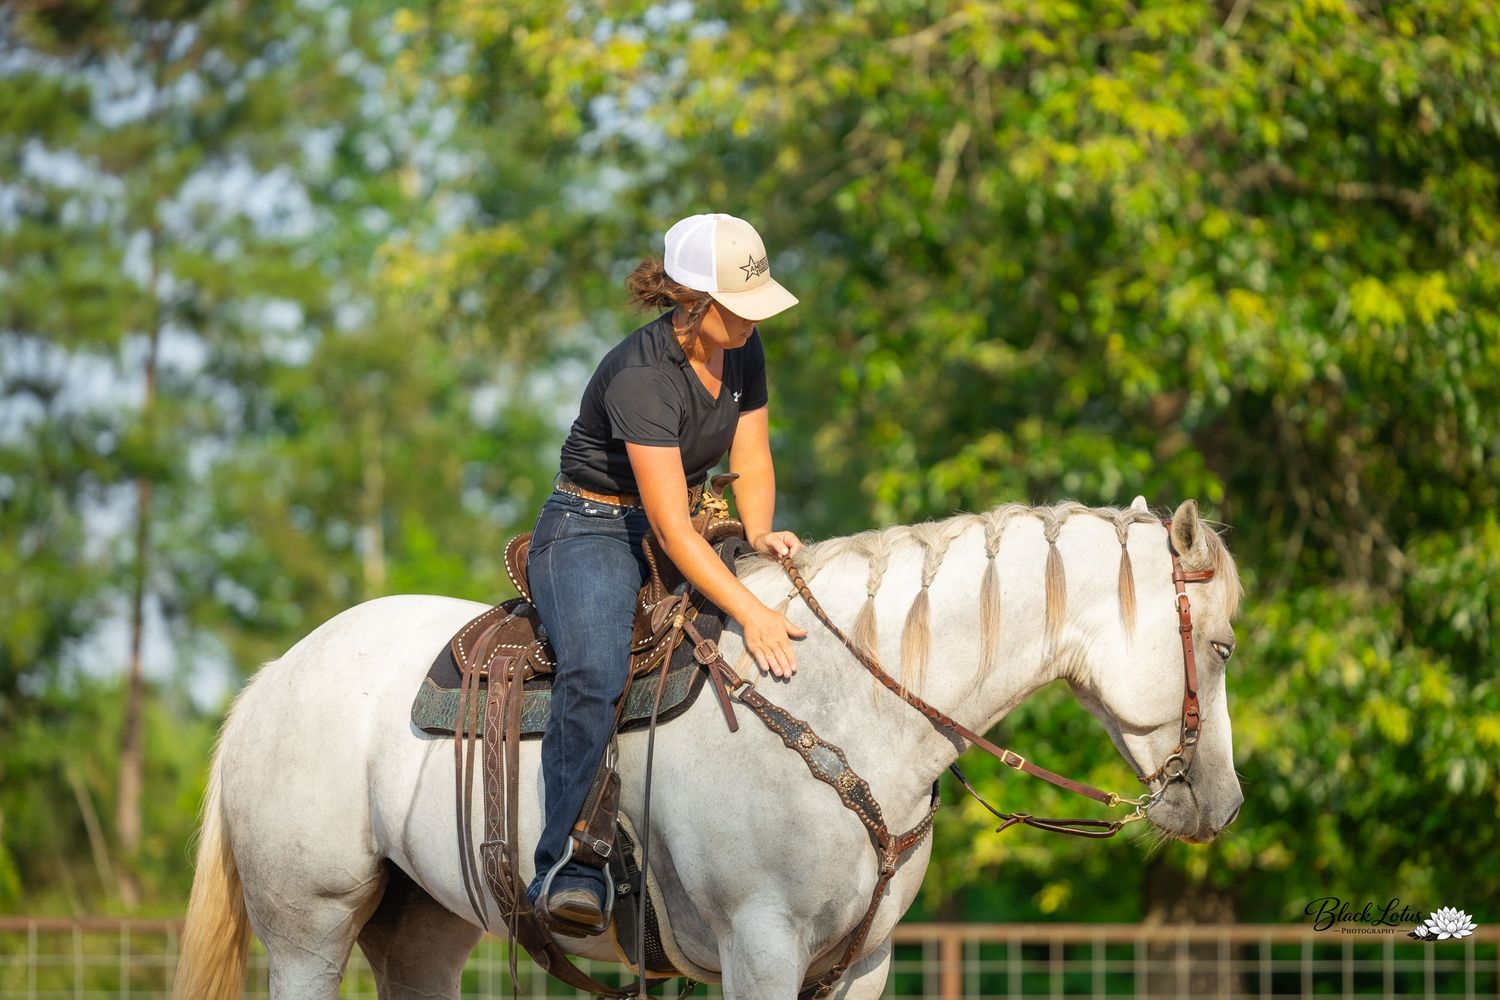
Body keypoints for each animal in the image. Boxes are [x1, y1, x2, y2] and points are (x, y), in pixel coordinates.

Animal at [173, 497, 1243, 1000]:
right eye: (1225, 645)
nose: (1223, 804)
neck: (841, 705)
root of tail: (273, 679)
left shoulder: (860, 964)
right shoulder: (759, 947)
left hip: (425, 928)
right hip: (308, 925)